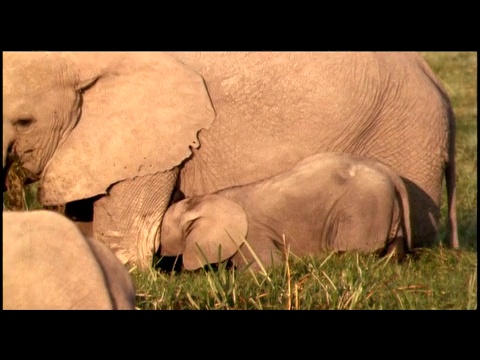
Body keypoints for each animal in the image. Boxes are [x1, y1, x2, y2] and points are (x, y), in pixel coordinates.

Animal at [160, 151, 412, 270]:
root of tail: (391, 174)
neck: (211, 198)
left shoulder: (251, 236)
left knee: (352, 255)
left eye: (162, 234)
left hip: (361, 210)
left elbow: (265, 269)